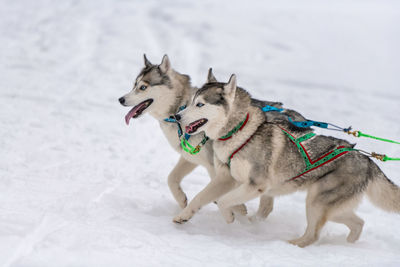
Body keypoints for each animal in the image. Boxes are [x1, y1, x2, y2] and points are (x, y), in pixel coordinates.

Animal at [119, 55, 284, 221]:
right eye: (134, 85)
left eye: (143, 87)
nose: (121, 99)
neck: (181, 106)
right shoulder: (191, 157)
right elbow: (171, 178)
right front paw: (181, 199)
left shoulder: (216, 166)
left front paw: (237, 209)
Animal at [175, 74, 400, 248]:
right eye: (192, 100)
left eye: (200, 104)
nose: (177, 116)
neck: (241, 131)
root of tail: (367, 160)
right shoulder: (225, 179)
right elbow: (199, 198)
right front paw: (184, 216)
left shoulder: (255, 186)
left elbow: (223, 201)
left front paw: (230, 216)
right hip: (329, 207)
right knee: (358, 223)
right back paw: (348, 245)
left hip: (317, 202)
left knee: (313, 235)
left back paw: (291, 245)